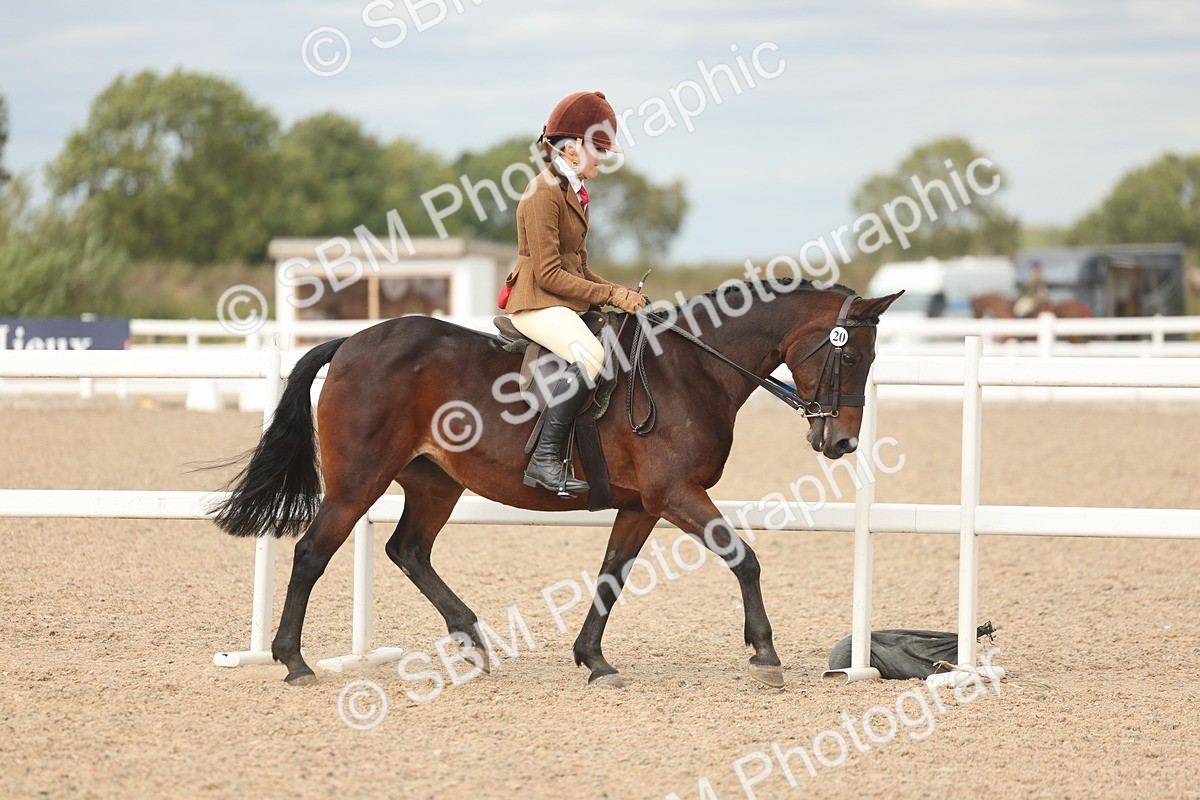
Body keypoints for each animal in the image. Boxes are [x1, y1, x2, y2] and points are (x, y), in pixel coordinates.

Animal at [211, 280, 902, 688]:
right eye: (850, 355)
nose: (841, 443)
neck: (693, 368)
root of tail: (352, 342)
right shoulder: (676, 494)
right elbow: (745, 558)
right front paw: (764, 654)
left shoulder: (643, 505)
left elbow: (612, 574)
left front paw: (593, 659)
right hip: (359, 481)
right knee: (311, 553)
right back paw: (294, 661)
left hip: (434, 483)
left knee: (407, 550)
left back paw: (472, 638)